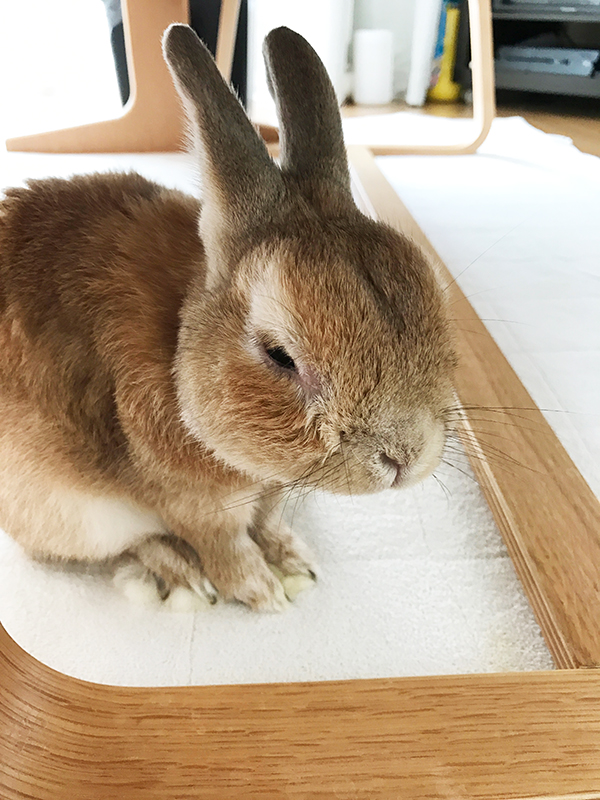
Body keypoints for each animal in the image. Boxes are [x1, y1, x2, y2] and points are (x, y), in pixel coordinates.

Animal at [0, 26, 458, 612]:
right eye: (280, 356)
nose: (406, 455)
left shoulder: (270, 492)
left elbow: (268, 522)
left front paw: (296, 565)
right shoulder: (193, 504)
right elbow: (224, 544)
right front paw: (261, 592)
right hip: (74, 514)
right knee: (123, 545)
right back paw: (181, 579)